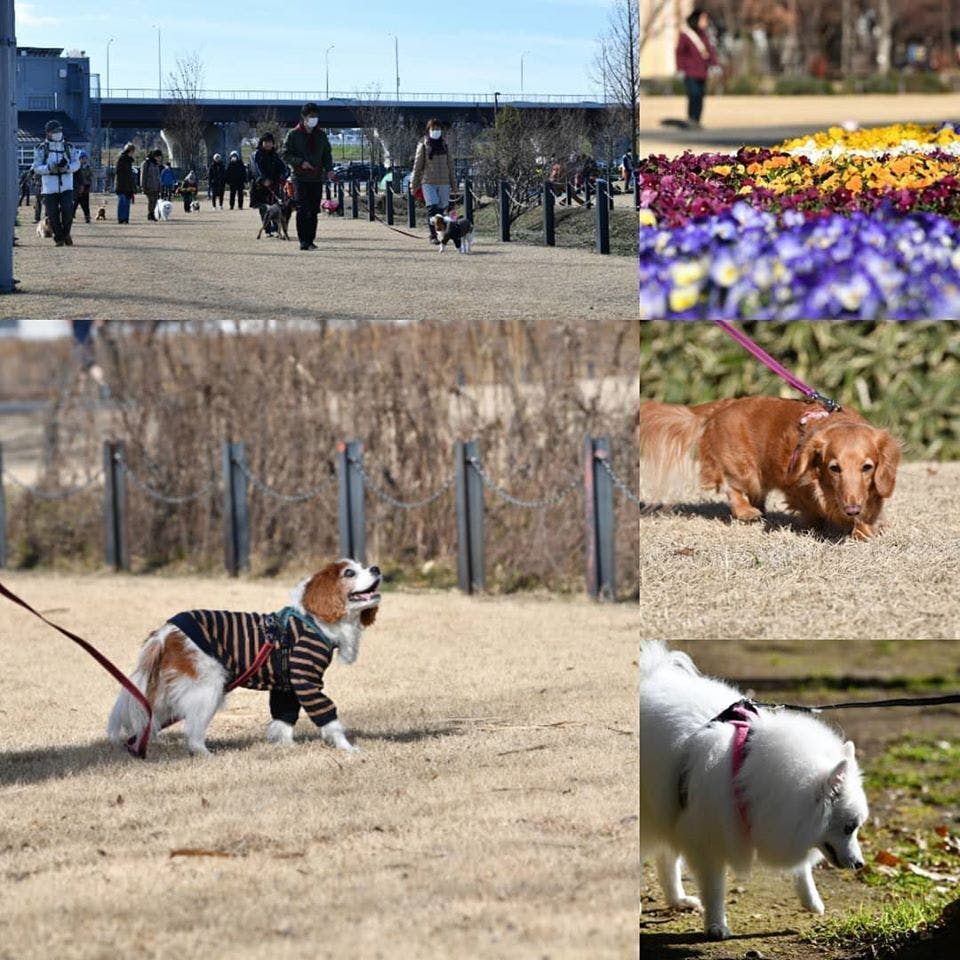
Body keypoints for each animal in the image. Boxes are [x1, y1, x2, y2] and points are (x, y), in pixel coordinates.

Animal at [109, 556, 382, 756]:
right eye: (350, 574)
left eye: (363, 566)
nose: (377, 568)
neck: (312, 621)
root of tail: (165, 632)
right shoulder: (305, 680)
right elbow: (327, 715)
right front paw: (347, 748)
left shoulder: (286, 687)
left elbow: (284, 718)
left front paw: (287, 747)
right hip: (208, 688)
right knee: (193, 730)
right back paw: (203, 753)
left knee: (150, 716)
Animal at [636, 640, 872, 940]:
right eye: (849, 827)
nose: (860, 864)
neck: (745, 768)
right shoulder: (708, 838)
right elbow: (715, 887)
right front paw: (717, 925)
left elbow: (802, 869)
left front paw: (812, 901)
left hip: (670, 808)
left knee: (667, 856)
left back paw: (678, 899)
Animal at [644, 394, 900, 536]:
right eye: (834, 468)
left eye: (867, 467)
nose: (852, 509)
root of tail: (723, 406)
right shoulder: (799, 488)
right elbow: (814, 510)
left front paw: (864, 529)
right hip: (745, 471)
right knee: (732, 487)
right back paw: (747, 511)